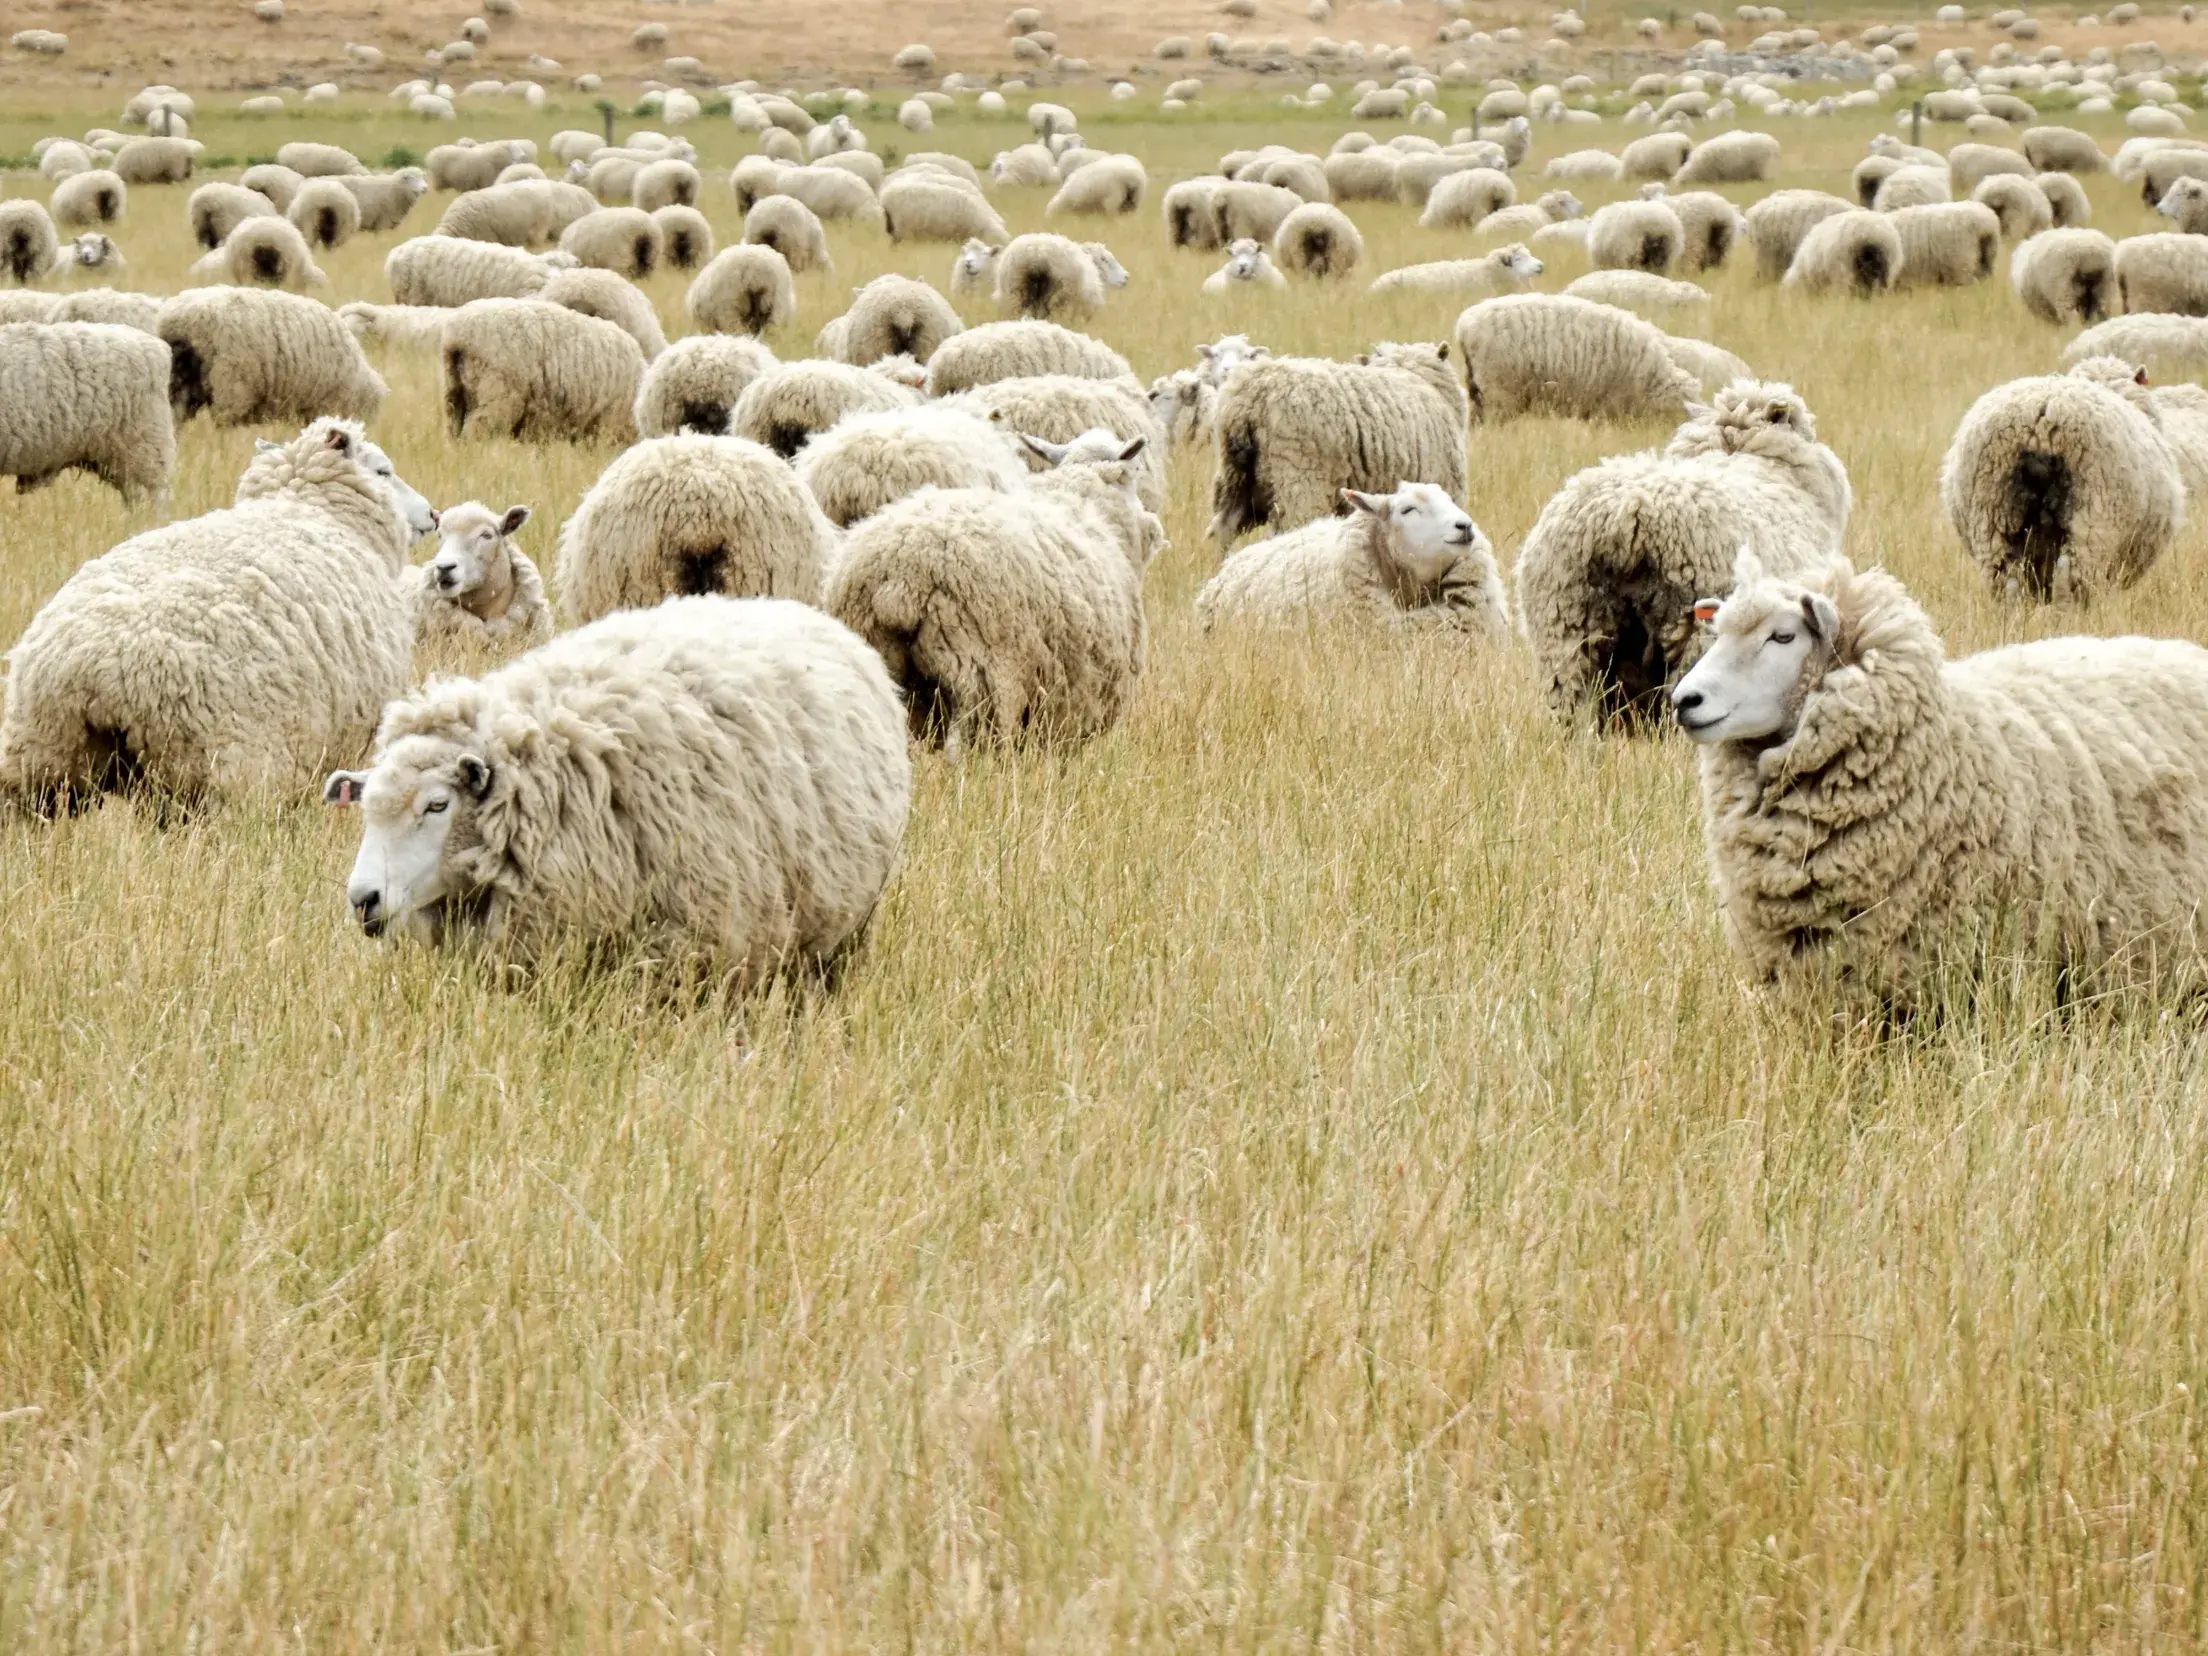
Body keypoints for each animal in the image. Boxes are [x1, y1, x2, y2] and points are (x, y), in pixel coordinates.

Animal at [0, 418, 432, 805]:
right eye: (383, 470)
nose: (432, 515)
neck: (316, 510)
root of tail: (91, 670)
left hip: (40, 759)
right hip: (227, 767)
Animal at [440, 298, 642, 443]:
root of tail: (457, 337)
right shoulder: (609, 423)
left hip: (453, 393)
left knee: (453, 432)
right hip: (498, 396)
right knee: (474, 433)